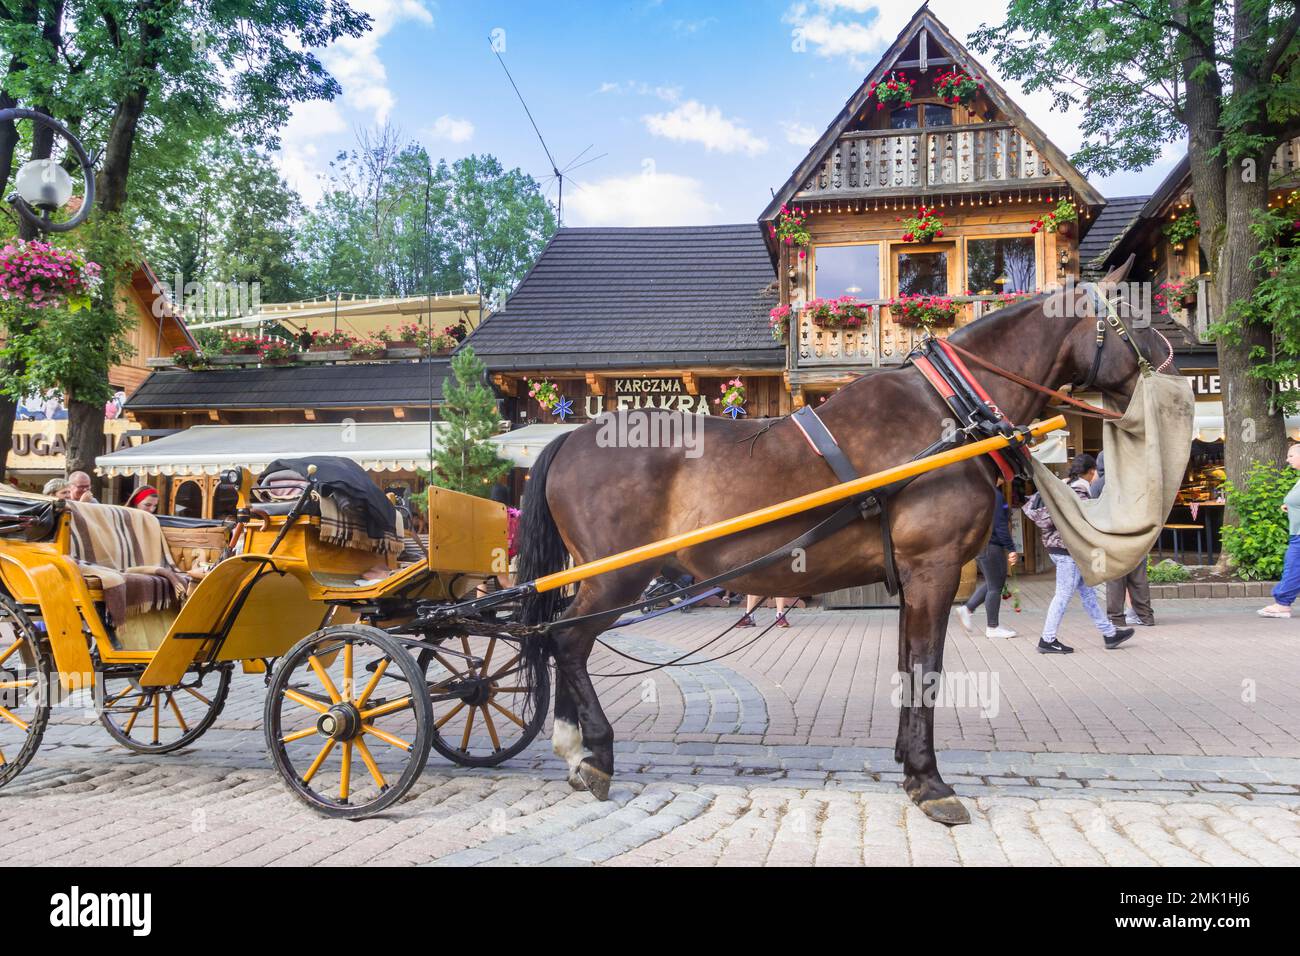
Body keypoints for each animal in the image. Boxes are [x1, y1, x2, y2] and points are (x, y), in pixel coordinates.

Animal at [512, 260, 1154, 822]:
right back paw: (594, 751)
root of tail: (569, 438)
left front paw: (910, 767)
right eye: (1133, 312)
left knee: (560, 638)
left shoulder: (915, 577)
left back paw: (573, 746)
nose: (1167, 359)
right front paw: (931, 782)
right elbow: (927, 666)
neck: (948, 411)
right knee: (567, 639)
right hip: (616, 576)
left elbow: (908, 664)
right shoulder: (934, 567)